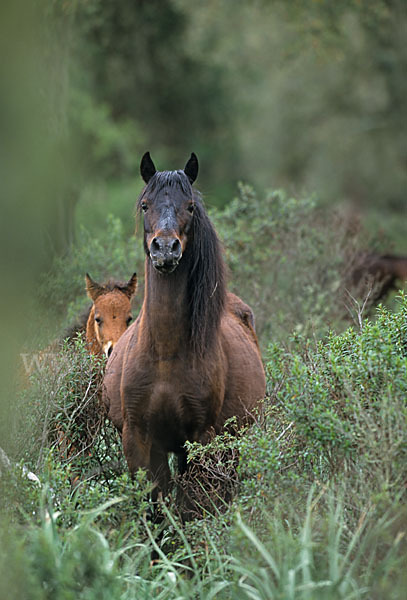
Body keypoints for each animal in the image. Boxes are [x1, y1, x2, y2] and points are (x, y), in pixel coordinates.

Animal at [103, 152, 266, 504]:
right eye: (145, 205)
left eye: (190, 206)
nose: (165, 248)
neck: (164, 353)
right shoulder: (138, 439)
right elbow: (153, 504)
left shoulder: (202, 437)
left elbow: (195, 505)